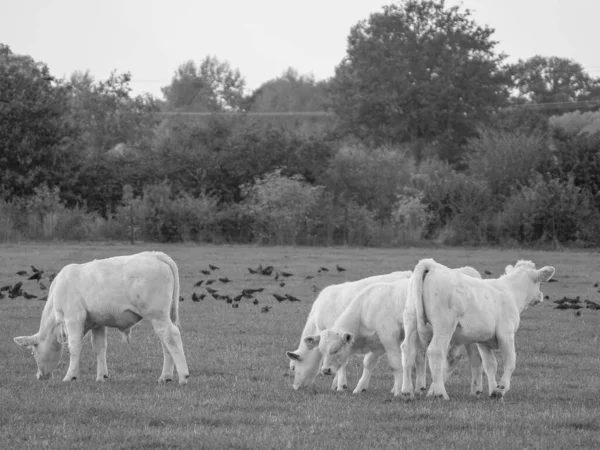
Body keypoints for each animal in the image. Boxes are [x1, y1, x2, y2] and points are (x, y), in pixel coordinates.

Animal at [14, 251, 189, 384]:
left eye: (33, 352)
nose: (40, 376)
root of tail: (154, 255)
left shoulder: (74, 318)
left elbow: (74, 346)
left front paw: (70, 376)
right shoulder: (97, 323)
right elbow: (99, 348)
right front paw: (101, 377)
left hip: (157, 315)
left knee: (171, 336)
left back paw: (183, 376)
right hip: (162, 316)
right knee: (165, 342)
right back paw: (165, 376)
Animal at [310, 266, 482, 396]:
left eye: (336, 349)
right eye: (321, 351)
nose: (325, 370)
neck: (367, 306)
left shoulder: (389, 337)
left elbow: (395, 364)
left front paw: (399, 390)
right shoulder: (378, 343)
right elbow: (369, 362)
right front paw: (360, 387)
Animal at [400, 258, 556, 400]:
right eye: (539, 282)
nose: (541, 296)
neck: (510, 291)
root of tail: (431, 264)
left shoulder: (483, 340)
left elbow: (490, 364)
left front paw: (493, 391)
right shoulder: (506, 333)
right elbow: (510, 361)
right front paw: (501, 389)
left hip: (411, 320)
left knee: (408, 350)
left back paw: (407, 391)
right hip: (444, 326)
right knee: (435, 352)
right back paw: (440, 393)